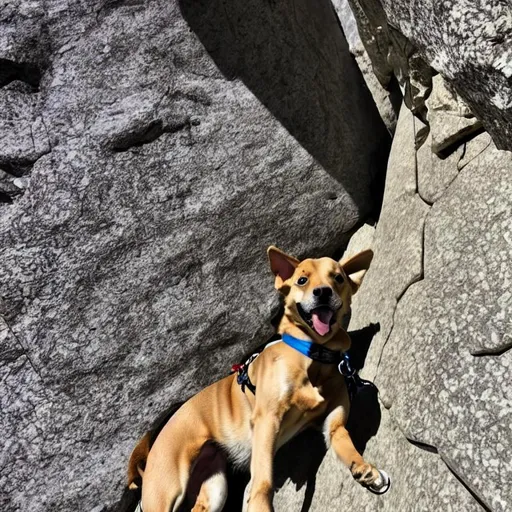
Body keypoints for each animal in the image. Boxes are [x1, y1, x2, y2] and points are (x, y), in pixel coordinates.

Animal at [129, 246, 388, 510]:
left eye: (338, 278)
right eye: (302, 280)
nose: (323, 292)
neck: (312, 355)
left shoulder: (332, 424)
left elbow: (345, 443)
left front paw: (365, 469)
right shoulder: (267, 420)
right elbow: (263, 480)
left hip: (214, 486)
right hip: (168, 489)